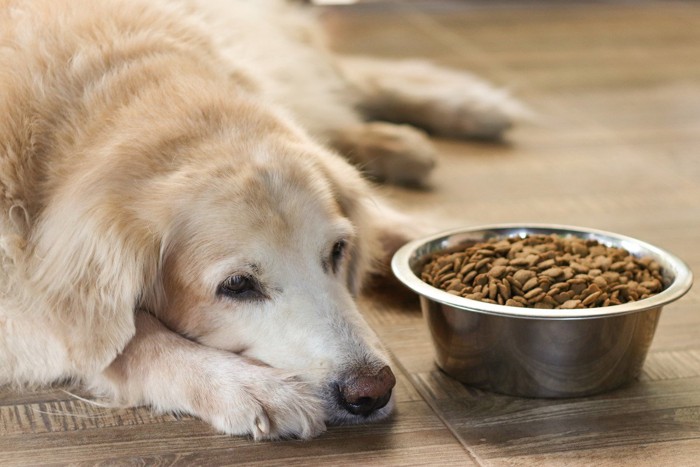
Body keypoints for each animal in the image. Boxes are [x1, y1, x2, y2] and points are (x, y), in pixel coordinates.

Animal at [0, 0, 520, 440]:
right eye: (236, 285)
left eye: (337, 251)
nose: (372, 390)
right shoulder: (24, 301)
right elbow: (127, 340)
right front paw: (247, 387)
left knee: (339, 78)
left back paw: (460, 110)